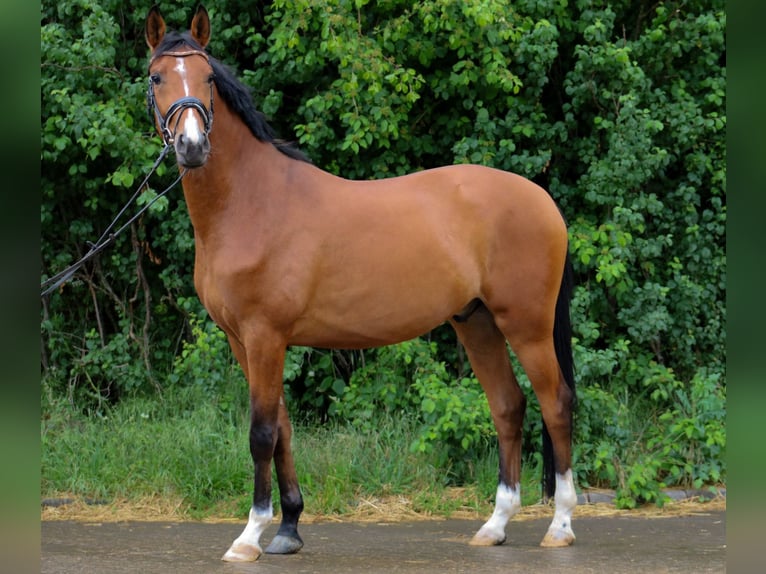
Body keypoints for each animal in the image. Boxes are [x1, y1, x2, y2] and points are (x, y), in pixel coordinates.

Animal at [145, 5, 577, 562]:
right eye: (157, 77)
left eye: (208, 79)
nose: (193, 146)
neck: (252, 202)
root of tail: (542, 200)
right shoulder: (245, 340)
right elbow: (282, 427)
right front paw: (288, 529)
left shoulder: (265, 336)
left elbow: (261, 433)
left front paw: (249, 536)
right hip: (476, 322)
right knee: (508, 407)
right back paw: (495, 525)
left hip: (525, 325)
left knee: (556, 404)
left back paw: (561, 525)